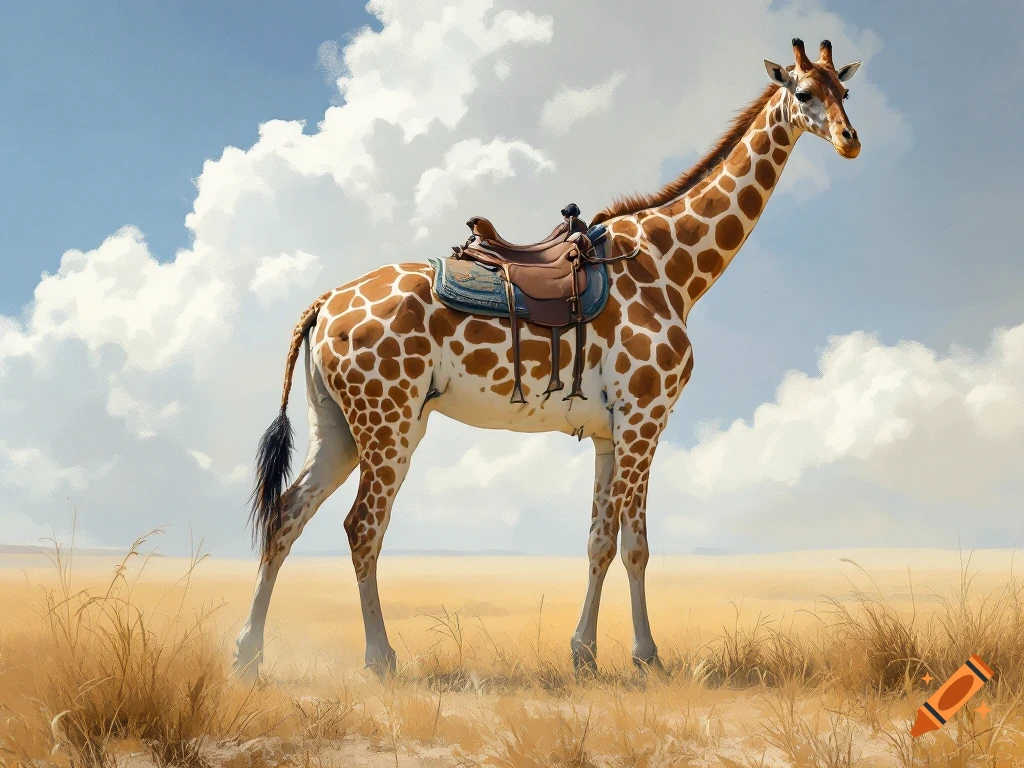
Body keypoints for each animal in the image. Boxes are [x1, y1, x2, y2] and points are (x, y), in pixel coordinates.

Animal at [234, 39, 863, 677]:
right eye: (803, 92)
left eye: (844, 90)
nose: (849, 140)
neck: (676, 267)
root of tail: (322, 306)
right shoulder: (645, 417)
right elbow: (636, 546)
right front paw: (646, 657)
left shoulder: (610, 431)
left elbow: (599, 541)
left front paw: (584, 654)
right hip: (390, 420)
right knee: (362, 525)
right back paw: (380, 658)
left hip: (337, 423)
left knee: (286, 515)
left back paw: (248, 655)